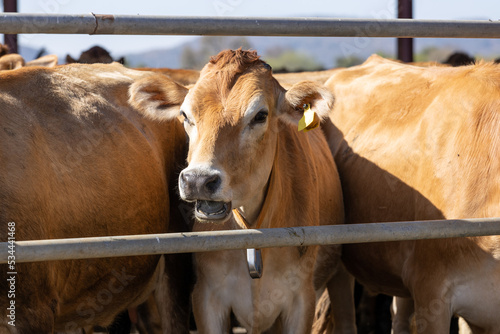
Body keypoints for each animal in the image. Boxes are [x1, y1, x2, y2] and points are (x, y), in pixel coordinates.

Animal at [129, 48, 356, 332]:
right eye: (185, 115)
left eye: (260, 115)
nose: (198, 180)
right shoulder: (207, 297)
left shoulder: (301, 299)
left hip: (341, 276)